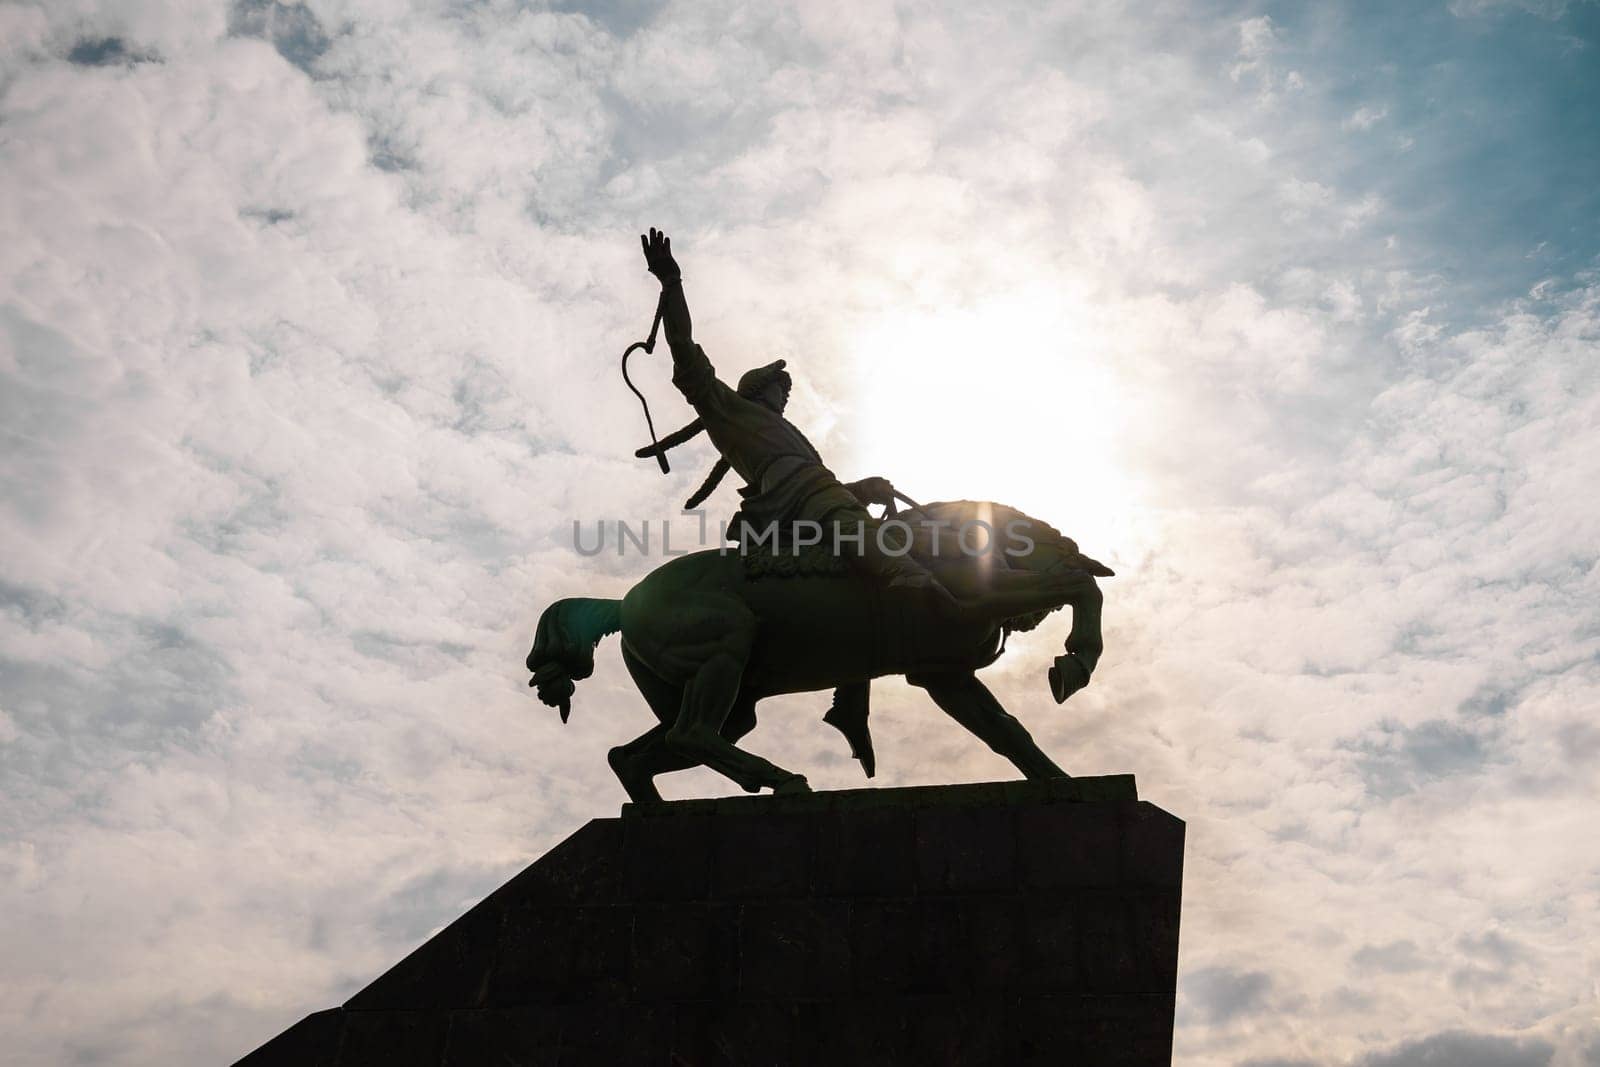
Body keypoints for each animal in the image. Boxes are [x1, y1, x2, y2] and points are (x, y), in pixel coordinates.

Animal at [524, 502, 1113, 799]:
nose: (1028, 625)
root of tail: (624, 602)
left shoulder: (944, 674)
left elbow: (1006, 731)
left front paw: (1057, 779)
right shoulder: (972, 603)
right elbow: (1080, 585)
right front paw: (1074, 662)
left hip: (725, 701)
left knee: (639, 753)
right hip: (724, 651)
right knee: (688, 733)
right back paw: (781, 779)